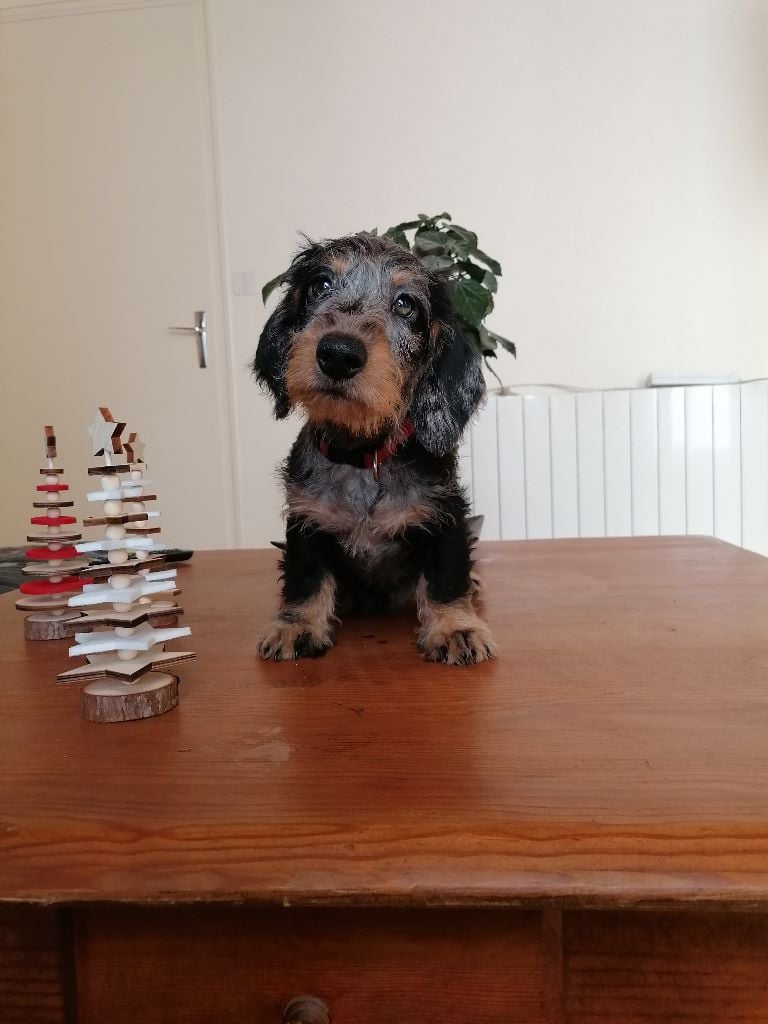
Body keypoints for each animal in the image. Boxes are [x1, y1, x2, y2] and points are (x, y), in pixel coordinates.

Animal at [253, 232, 496, 666]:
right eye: (320, 285)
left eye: (405, 303)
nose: (338, 354)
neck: (362, 458)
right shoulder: (305, 521)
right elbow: (304, 577)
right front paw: (296, 625)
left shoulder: (446, 515)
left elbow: (446, 577)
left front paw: (456, 629)